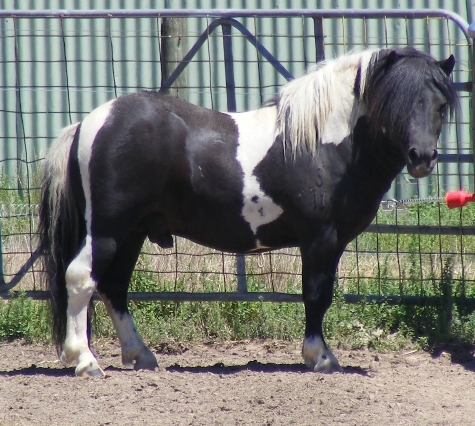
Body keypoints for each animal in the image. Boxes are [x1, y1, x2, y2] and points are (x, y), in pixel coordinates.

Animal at [40, 48, 458, 378]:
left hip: (132, 232)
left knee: (113, 286)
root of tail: (90, 123)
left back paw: (141, 355)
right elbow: (317, 295)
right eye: (397, 104)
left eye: (440, 106)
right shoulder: (321, 239)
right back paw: (85, 361)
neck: (323, 145)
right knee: (81, 278)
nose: (422, 157)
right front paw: (320, 357)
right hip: (108, 229)